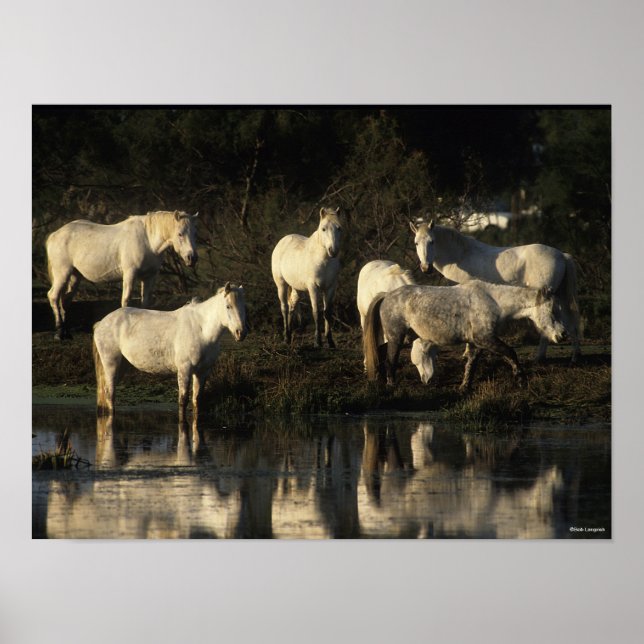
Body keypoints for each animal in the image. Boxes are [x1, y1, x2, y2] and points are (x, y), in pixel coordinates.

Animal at [46, 210, 198, 340]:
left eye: (194, 234)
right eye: (180, 234)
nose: (192, 258)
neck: (147, 241)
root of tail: (55, 235)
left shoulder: (149, 277)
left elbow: (146, 302)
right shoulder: (130, 274)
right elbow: (126, 300)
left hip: (75, 277)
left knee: (65, 300)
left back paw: (66, 332)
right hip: (62, 273)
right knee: (53, 296)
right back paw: (59, 332)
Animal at [93, 282, 247, 421]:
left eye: (244, 306)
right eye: (228, 306)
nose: (241, 333)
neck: (202, 330)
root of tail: (101, 323)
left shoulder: (203, 371)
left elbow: (197, 400)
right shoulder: (185, 369)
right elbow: (183, 401)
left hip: (122, 366)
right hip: (111, 364)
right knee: (110, 394)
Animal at [271, 207, 342, 348]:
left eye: (339, 228)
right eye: (323, 229)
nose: (333, 251)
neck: (323, 260)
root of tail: (283, 241)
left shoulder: (330, 288)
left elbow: (327, 313)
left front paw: (330, 341)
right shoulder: (313, 288)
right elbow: (316, 313)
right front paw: (317, 342)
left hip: (296, 288)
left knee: (292, 306)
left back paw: (289, 336)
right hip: (281, 285)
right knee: (284, 308)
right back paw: (286, 338)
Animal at [363, 280, 564, 390]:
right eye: (553, 311)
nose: (562, 335)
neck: (494, 301)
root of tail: (387, 295)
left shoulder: (477, 343)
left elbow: (471, 365)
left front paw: (464, 387)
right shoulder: (485, 339)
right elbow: (510, 353)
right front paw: (521, 379)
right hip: (396, 337)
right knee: (390, 361)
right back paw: (391, 384)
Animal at [409, 220, 581, 362]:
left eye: (432, 241)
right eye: (416, 243)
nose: (426, 268)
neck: (461, 255)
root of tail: (562, 255)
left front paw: (467, 352)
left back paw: (540, 357)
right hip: (559, 296)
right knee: (570, 322)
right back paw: (574, 357)